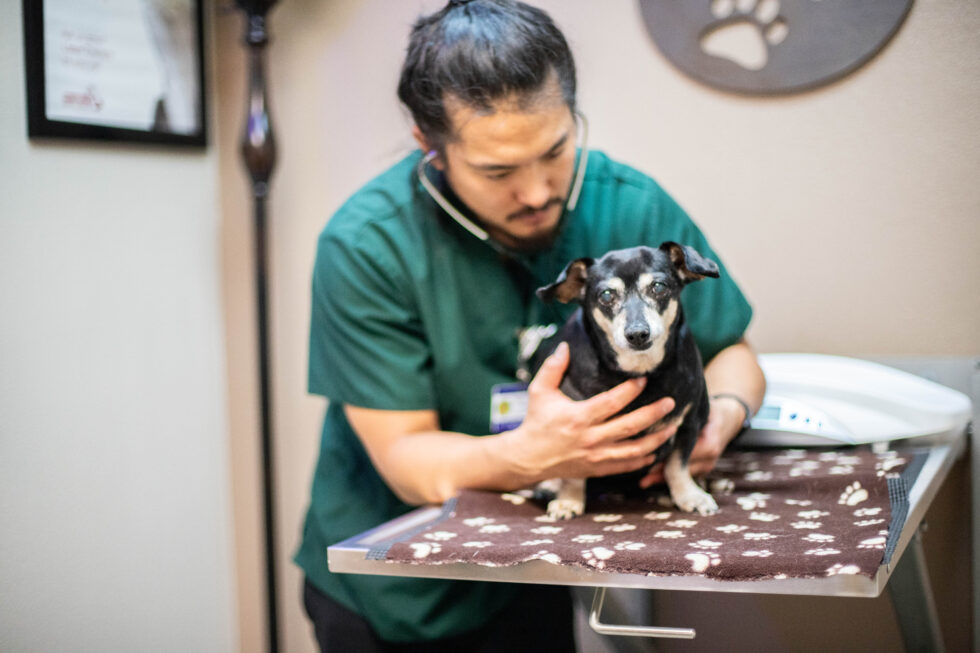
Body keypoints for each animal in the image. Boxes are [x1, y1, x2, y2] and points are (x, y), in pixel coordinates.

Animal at [532, 242, 724, 516]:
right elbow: (573, 472)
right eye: (606, 295)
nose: (637, 333)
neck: (639, 368)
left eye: (659, 287)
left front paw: (689, 495)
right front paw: (569, 500)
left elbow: (676, 465)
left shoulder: (689, 423)